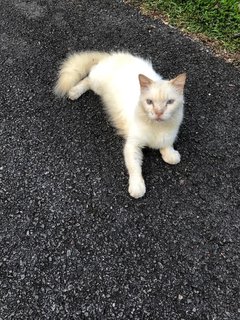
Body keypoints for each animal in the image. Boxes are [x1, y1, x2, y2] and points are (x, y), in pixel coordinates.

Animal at [55, 50, 187, 198]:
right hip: (97, 85)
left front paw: (172, 155)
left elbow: (169, 151)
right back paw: (74, 92)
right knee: (87, 79)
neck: (156, 128)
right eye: (149, 102)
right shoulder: (132, 145)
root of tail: (110, 56)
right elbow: (135, 169)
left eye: (170, 102)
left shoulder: (167, 137)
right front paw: (137, 188)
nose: (158, 113)